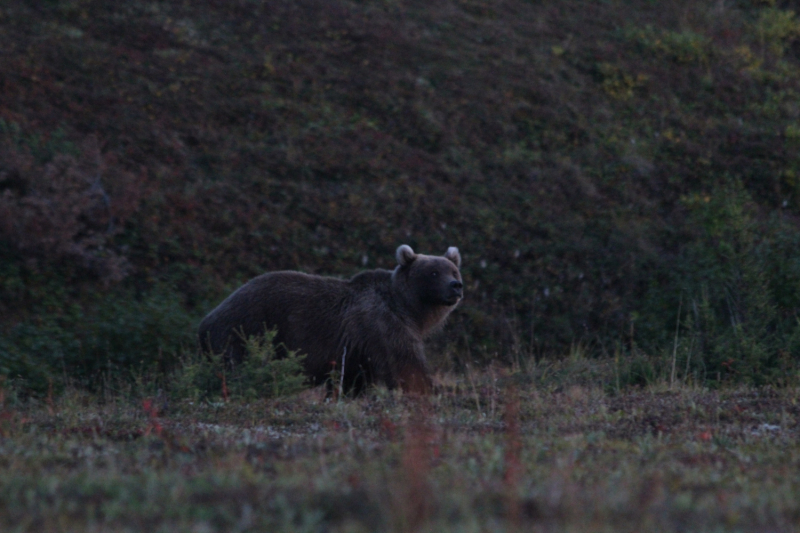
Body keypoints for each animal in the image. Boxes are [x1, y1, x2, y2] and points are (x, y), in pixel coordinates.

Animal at [198, 243, 466, 392]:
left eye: (453, 270)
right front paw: (428, 387)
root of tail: (206, 319)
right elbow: (405, 363)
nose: (456, 286)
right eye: (433, 272)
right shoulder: (381, 324)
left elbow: (352, 381)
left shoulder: (356, 351)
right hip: (245, 329)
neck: (409, 309)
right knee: (236, 366)